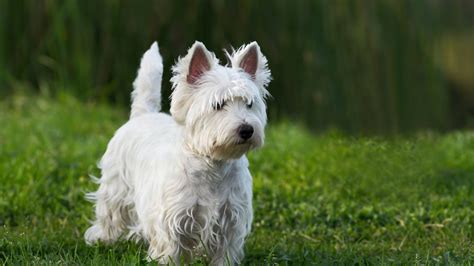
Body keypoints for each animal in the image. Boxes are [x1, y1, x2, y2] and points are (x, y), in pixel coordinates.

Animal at [83, 41, 272, 264]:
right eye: (218, 104)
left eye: (249, 103)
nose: (247, 130)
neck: (213, 165)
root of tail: (142, 115)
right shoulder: (173, 220)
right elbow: (172, 250)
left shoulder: (231, 221)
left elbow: (224, 255)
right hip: (116, 186)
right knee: (109, 213)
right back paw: (101, 238)